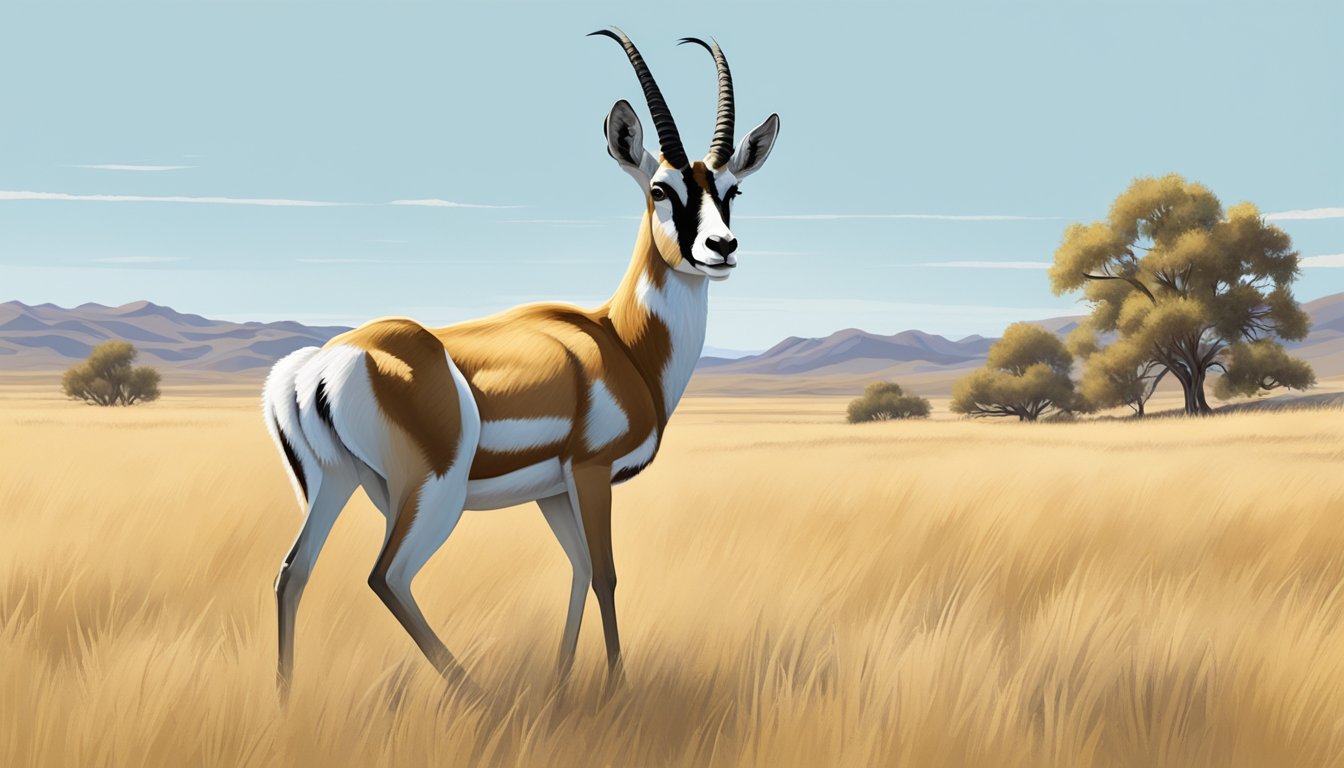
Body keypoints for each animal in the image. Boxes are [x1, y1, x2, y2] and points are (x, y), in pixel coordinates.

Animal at [263, 30, 784, 699]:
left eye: (731, 190)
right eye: (660, 189)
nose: (720, 248)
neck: (621, 342)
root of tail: (321, 365)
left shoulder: (553, 490)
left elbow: (579, 569)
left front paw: (564, 682)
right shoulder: (591, 472)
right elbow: (606, 573)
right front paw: (615, 686)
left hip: (333, 481)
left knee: (293, 571)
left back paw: (285, 698)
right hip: (431, 493)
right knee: (386, 576)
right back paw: (475, 695)